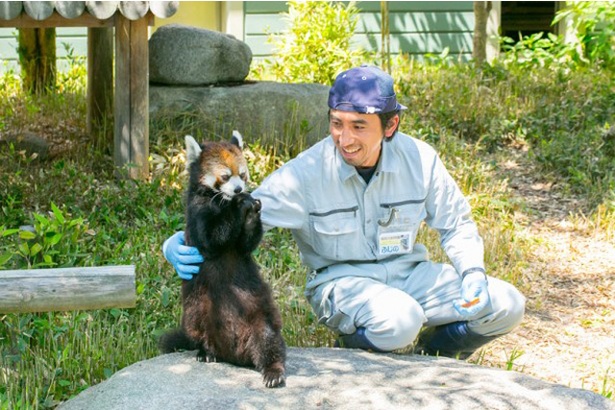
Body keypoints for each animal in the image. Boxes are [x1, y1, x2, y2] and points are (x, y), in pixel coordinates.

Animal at [158, 131, 286, 388]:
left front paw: (252, 207)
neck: (221, 201)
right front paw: (240, 205)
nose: (238, 190)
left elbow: (246, 243)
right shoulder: (197, 215)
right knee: (197, 329)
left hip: (260, 313)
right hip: (197, 309)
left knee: (268, 340)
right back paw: (206, 352)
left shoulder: (243, 245)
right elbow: (212, 238)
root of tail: (233, 354)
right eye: (225, 176)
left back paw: (273, 371)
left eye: (243, 174)